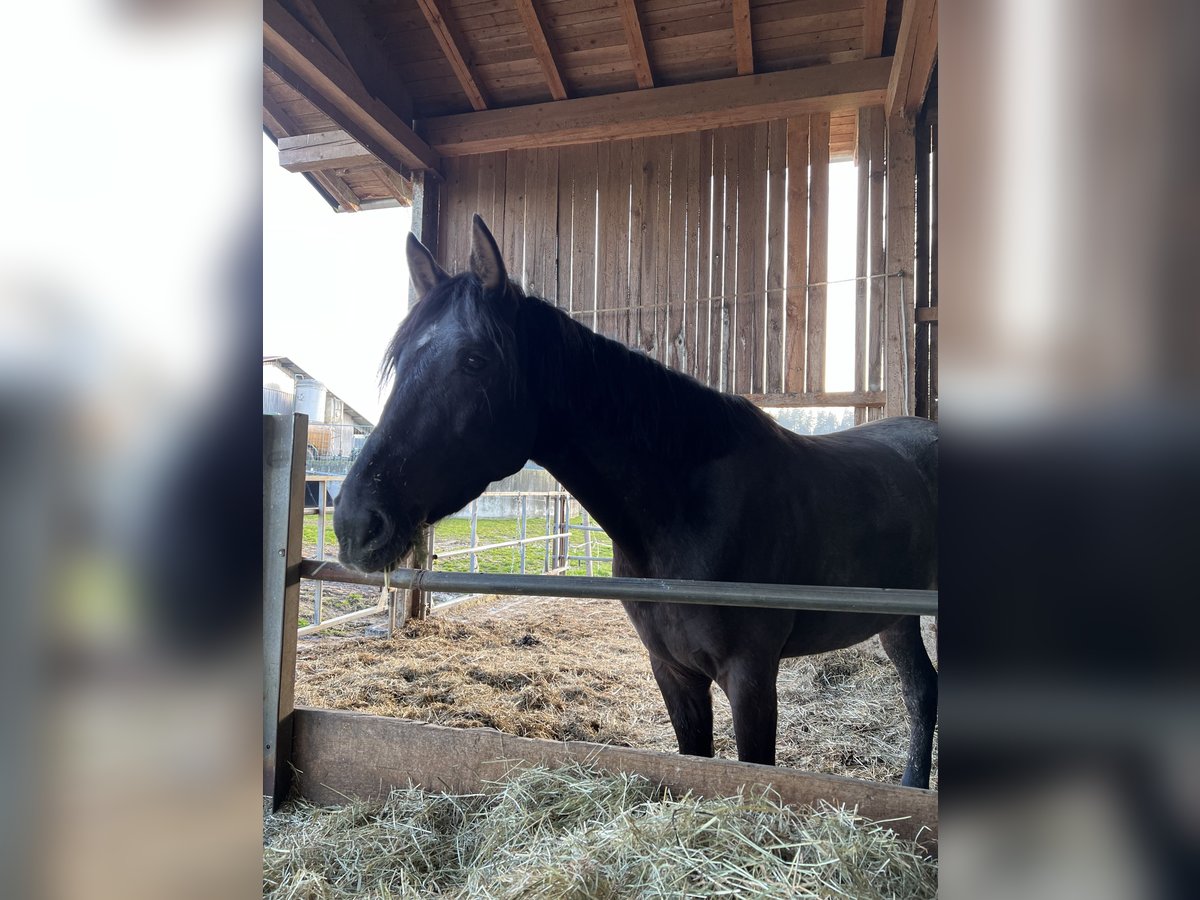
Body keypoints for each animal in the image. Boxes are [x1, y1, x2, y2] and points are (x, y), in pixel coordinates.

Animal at [336, 214, 936, 787]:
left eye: (474, 360)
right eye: (399, 362)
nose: (355, 523)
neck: (686, 513)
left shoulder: (751, 676)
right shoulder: (672, 670)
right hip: (897, 620)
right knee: (921, 690)